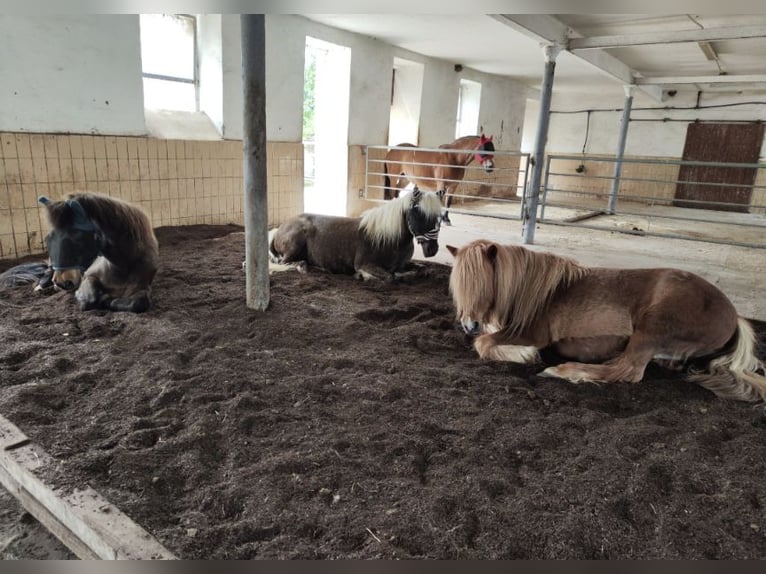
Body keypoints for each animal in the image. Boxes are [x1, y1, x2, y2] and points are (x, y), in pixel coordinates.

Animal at [269, 187, 442, 282]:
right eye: (418, 213)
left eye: (439, 217)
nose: (432, 249)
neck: (389, 240)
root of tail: (280, 228)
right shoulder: (365, 264)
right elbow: (390, 277)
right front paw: (362, 276)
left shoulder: (404, 264)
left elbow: (424, 270)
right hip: (294, 246)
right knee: (284, 262)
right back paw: (302, 266)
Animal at [447, 239, 766, 403]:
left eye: (484, 285)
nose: (468, 324)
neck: (535, 292)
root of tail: (734, 316)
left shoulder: (530, 332)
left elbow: (484, 343)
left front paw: (525, 355)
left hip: (651, 329)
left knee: (627, 370)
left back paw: (563, 371)